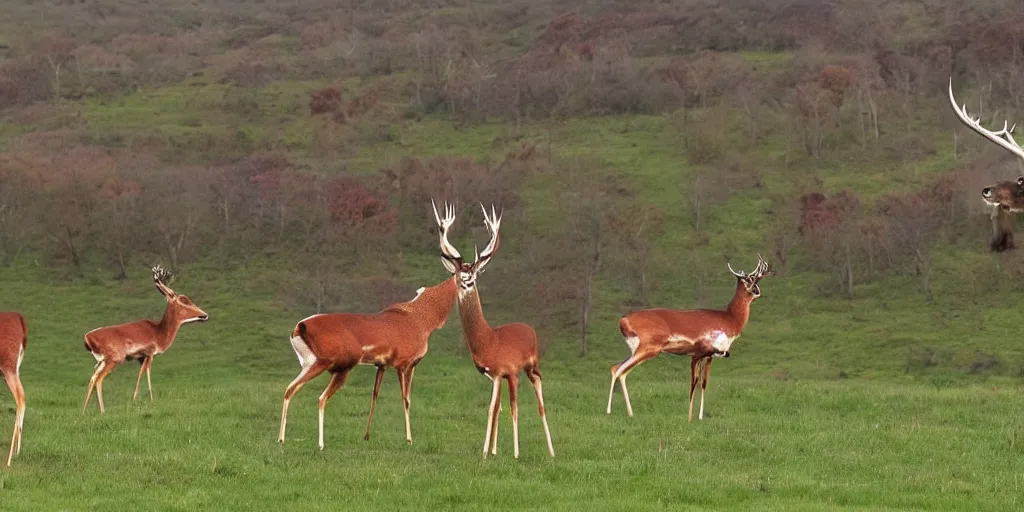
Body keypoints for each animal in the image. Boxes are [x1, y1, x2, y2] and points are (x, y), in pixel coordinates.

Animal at [82, 266, 209, 413]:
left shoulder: (141, 357)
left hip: (102, 361)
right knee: (98, 379)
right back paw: (102, 411)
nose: (205, 315)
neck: (159, 334)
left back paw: (84, 412)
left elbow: (140, 374)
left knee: (92, 378)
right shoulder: (149, 352)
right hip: (114, 358)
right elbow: (146, 373)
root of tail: (87, 339)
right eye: (185, 300)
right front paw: (149, 400)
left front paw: (136, 399)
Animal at [278, 258, 458, 450]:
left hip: (309, 366)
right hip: (331, 368)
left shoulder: (382, 366)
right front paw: (409, 440)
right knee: (320, 398)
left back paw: (281, 439)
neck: (419, 319)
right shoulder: (404, 365)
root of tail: (300, 326)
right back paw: (320, 444)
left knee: (290, 389)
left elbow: (375, 396)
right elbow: (406, 399)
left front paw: (367, 436)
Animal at [434, 200, 557, 460]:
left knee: (540, 399)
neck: (489, 341)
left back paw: (551, 450)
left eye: (472, 276)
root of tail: (529, 327)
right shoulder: (494, 374)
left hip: (532, 366)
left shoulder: (509, 371)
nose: (466, 282)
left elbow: (511, 408)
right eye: (459, 275)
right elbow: (493, 408)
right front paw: (488, 452)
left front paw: (515, 453)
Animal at [606, 254, 770, 419]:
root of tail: (624, 319)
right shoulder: (705, 354)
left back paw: (627, 413)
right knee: (620, 371)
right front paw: (694, 417)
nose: (757, 291)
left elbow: (702, 384)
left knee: (616, 368)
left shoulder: (705, 356)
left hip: (636, 350)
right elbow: (698, 383)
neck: (729, 318)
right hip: (648, 350)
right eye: (749, 280)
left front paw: (699, 416)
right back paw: (612, 412)